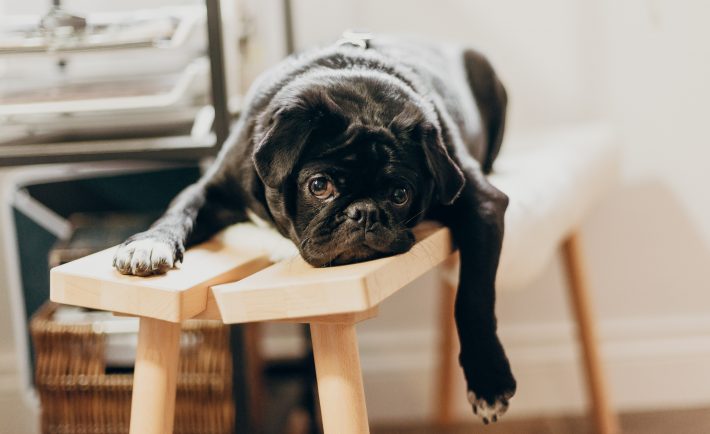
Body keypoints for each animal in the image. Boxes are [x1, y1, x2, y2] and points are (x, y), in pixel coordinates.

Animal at [115, 34, 516, 424]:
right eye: (319, 186)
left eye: (400, 194)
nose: (364, 212)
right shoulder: (209, 189)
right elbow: (179, 210)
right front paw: (149, 244)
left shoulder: (482, 204)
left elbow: (473, 297)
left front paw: (488, 378)